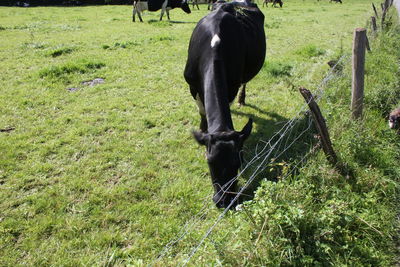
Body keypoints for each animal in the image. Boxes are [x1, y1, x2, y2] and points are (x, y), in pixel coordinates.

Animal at [184, 0, 266, 209]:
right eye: (210, 162)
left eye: (238, 163)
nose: (224, 201)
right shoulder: (191, 84)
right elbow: (202, 111)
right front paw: (203, 129)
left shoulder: (232, 84)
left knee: (245, 82)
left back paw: (241, 99)